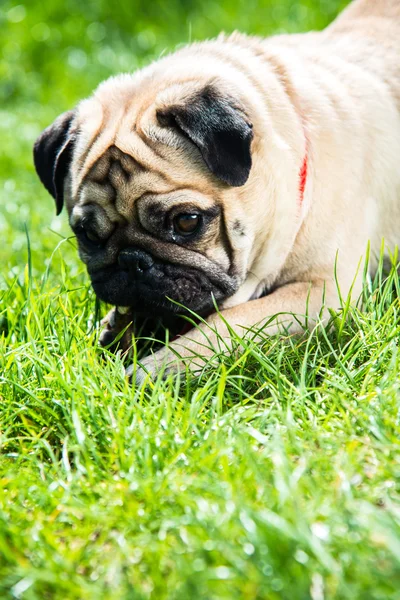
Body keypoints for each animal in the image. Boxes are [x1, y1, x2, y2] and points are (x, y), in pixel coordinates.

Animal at [33, 0, 400, 382]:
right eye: (88, 235)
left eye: (186, 222)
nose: (133, 260)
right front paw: (119, 328)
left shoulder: (321, 291)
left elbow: (227, 324)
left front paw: (156, 368)